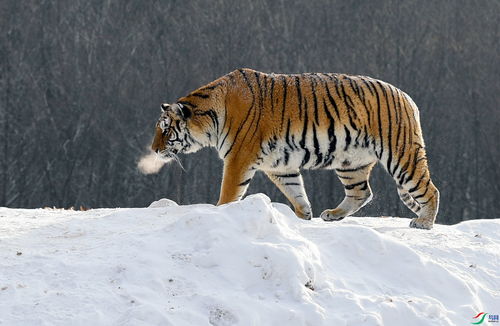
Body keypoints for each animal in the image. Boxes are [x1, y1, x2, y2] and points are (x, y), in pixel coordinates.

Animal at [150, 68, 440, 229]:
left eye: (165, 129)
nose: (153, 150)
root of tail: (407, 97)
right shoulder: (280, 164)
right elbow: (295, 191)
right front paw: (304, 216)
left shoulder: (238, 159)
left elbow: (229, 192)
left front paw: (220, 212)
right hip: (351, 162)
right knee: (361, 192)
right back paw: (333, 215)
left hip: (401, 155)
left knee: (429, 189)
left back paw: (424, 223)